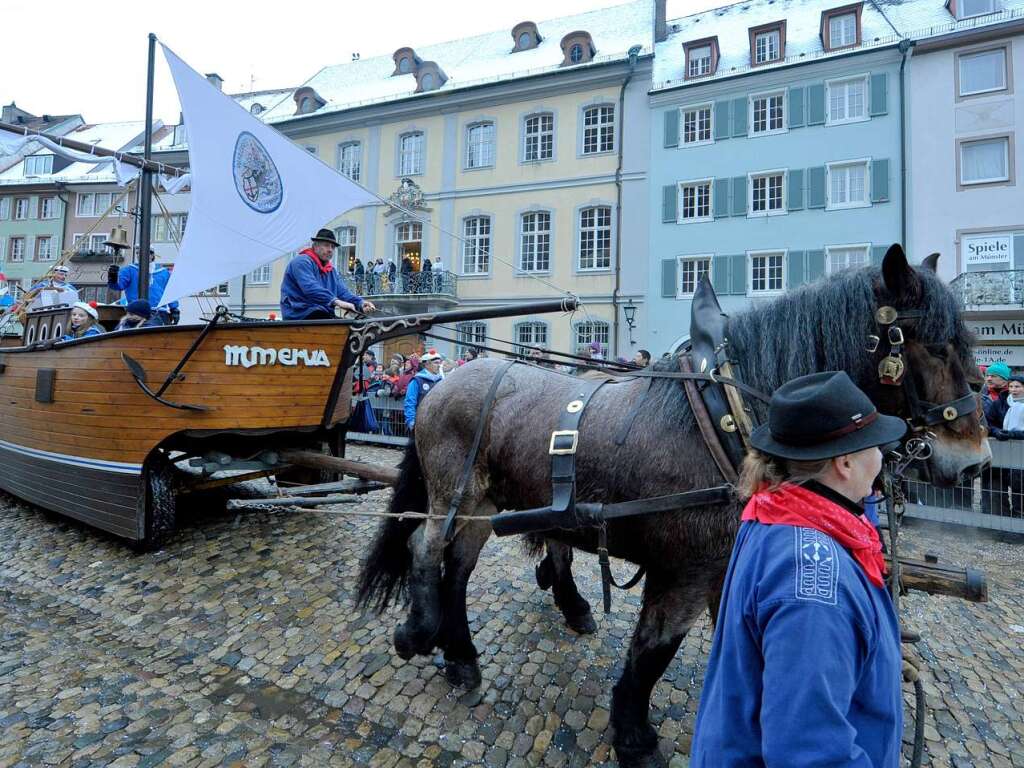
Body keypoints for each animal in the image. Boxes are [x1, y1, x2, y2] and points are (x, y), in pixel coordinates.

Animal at [354, 247, 991, 768]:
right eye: (936, 346)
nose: (974, 463)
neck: (727, 419)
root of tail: (442, 384)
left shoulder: (723, 568)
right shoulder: (683, 572)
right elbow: (652, 652)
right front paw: (634, 738)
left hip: (485, 504)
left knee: (458, 566)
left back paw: (462, 654)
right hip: (455, 490)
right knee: (426, 546)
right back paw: (421, 632)